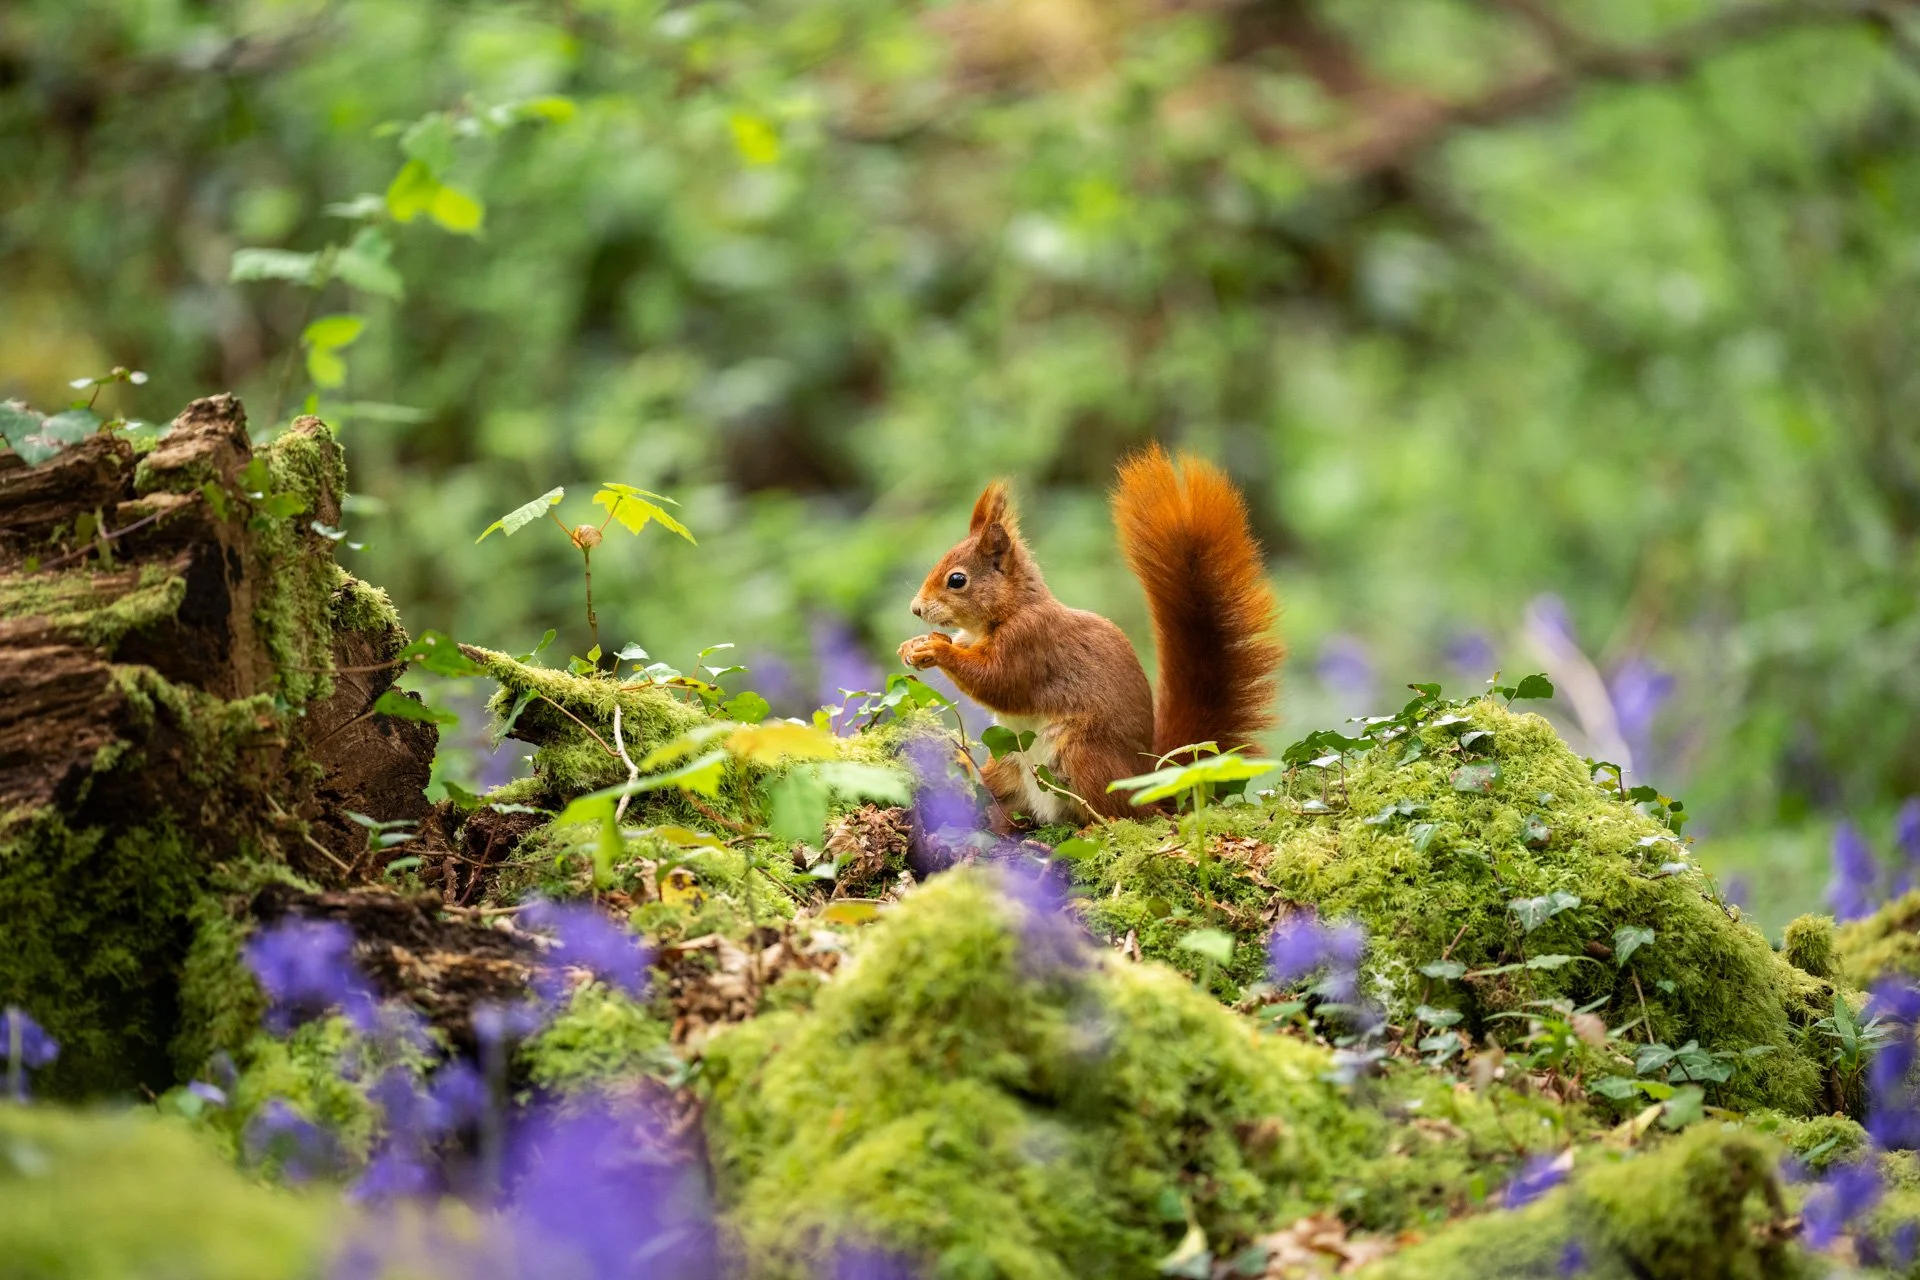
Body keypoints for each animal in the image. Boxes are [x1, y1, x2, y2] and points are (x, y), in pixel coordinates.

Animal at [898, 444, 1283, 827]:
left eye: (957, 580)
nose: (916, 609)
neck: (1007, 612)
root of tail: (1147, 788)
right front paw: (914, 646)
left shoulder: (1031, 641)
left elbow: (999, 681)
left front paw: (936, 650)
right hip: (1005, 759)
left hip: (1085, 756)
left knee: (1114, 813)